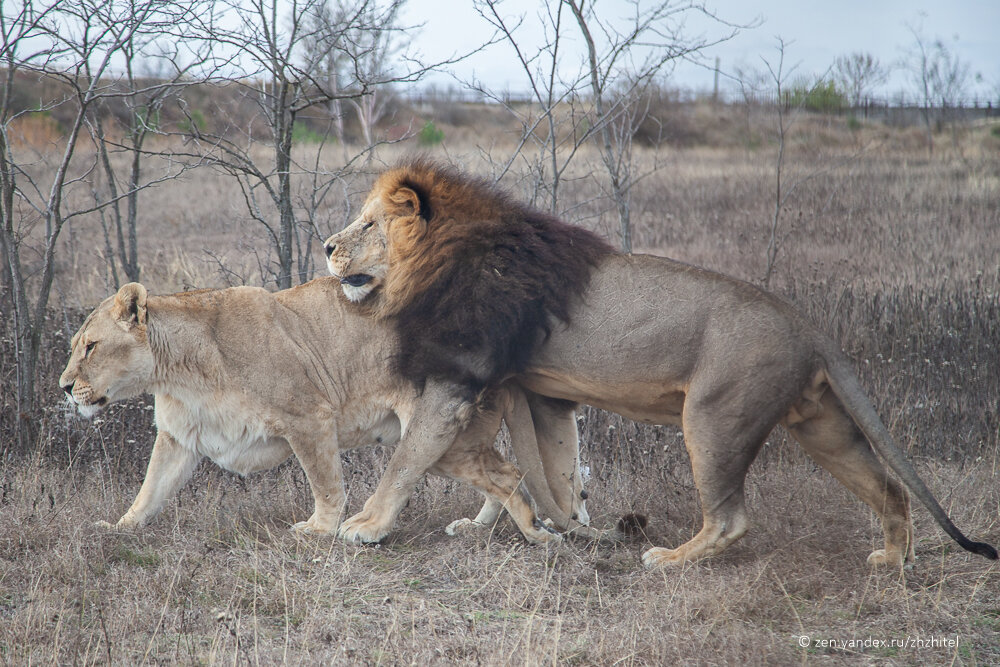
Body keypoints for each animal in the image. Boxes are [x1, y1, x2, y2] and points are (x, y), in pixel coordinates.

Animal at [58, 276, 568, 544]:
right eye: (75, 344)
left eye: (91, 346)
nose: (63, 387)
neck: (179, 374)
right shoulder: (179, 438)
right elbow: (150, 491)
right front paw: (119, 528)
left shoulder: (308, 416)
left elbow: (324, 482)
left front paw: (319, 529)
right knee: (507, 474)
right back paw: (478, 528)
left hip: (440, 434)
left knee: (508, 475)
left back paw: (538, 534)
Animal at [324, 158, 996, 568]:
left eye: (367, 224)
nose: (328, 247)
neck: (438, 258)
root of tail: (809, 325)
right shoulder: (535, 394)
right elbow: (542, 470)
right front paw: (524, 523)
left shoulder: (458, 377)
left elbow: (408, 460)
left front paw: (366, 526)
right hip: (821, 426)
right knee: (888, 485)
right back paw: (894, 557)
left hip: (715, 417)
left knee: (730, 519)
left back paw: (670, 559)